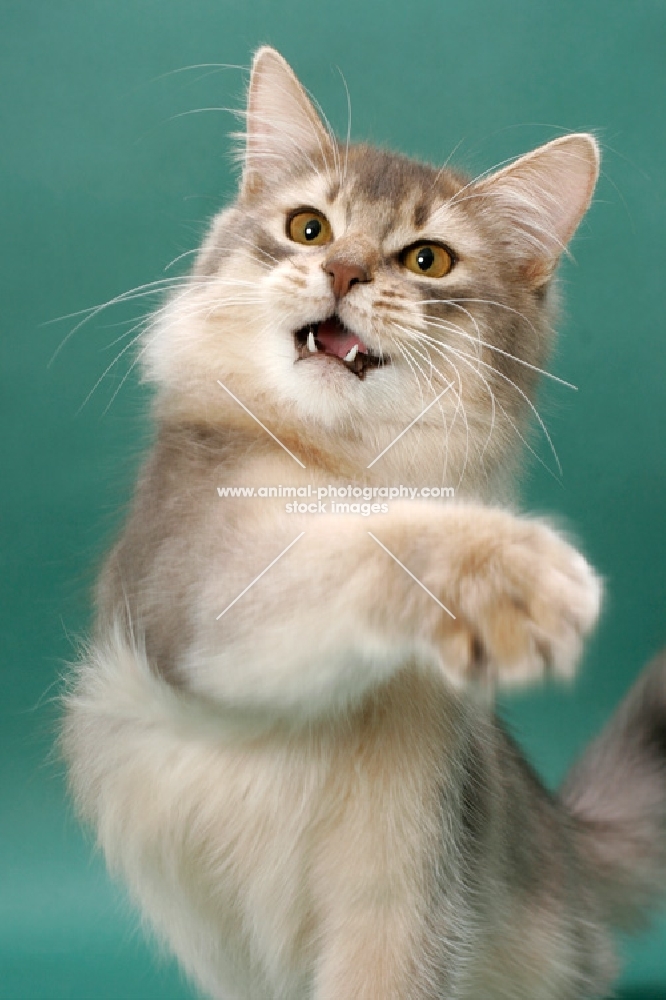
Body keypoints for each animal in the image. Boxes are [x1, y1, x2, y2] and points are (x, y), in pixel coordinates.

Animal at [62, 43, 664, 996]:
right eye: (308, 228)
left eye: (426, 260)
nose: (344, 271)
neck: (342, 470)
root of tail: (559, 839)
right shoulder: (191, 585)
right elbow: (357, 547)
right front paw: (507, 574)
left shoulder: (405, 902)